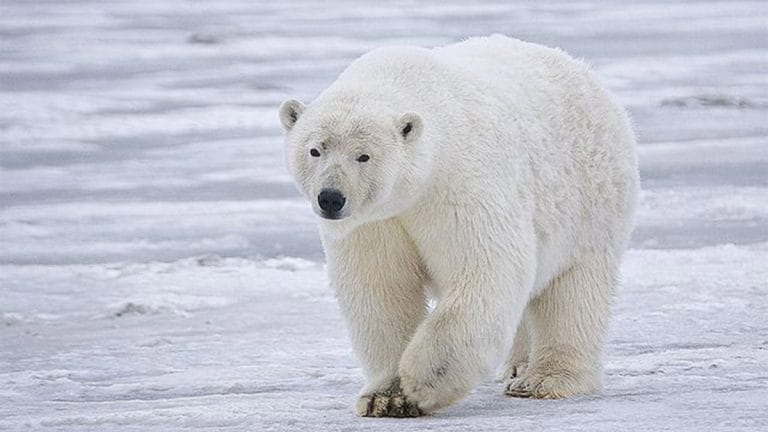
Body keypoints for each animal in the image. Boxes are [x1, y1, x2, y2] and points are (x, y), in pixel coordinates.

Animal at [278, 35, 639, 417]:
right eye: (315, 150)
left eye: (364, 156)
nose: (331, 198)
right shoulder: (374, 222)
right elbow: (381, 289)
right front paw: (385, 397)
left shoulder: (460, 183)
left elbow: (485, 268)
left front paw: (423, 381)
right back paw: (517, 366)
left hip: (590, 201)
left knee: (574, 292)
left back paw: (544, 380)